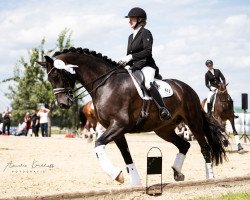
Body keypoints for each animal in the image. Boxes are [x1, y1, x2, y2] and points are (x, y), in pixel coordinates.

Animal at [37, 47, 227, 186]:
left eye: (56, 75)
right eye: (50, 78)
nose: (63, 103)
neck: (106, 84)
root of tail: (187, 88)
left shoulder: (119, 125)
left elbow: (98, 145)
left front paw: (116, 175)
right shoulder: (116, 130)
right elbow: (125, 154)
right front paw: (134, 181)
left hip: (193, 122)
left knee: (204, 147)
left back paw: (209, 178)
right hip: (164, 130)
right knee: (184, 145)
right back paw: (178, 173)